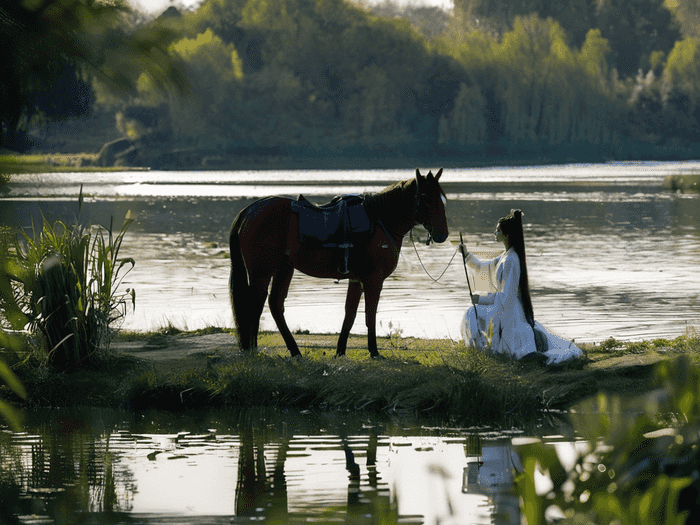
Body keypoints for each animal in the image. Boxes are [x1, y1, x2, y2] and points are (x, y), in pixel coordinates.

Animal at [230, 168, 448, 356]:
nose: (442, 234)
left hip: (284, 269)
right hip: (262, 273)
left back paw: (294, 351)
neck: (380, 220)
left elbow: (349, 314)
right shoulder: (373, 280)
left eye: (442, 198)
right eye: (426, 197)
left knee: (275, 305)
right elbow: (370, 314)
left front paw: (341, 351)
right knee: (255, 306)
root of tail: (250, 210)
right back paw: (253, 349)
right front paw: (374, 351)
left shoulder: (357, 280)